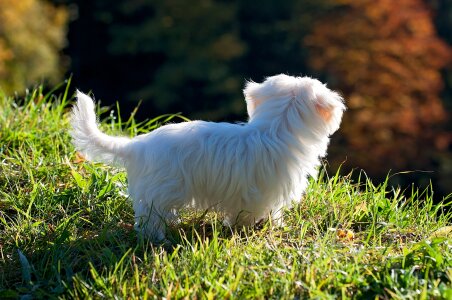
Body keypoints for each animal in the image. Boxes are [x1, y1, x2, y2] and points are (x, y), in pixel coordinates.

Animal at [70, 74, 346, 240]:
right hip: (159, 193)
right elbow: (257, 214)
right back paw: (158, 238)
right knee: (150, 219)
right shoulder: (262, 193)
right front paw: (259, 229)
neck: (275, 129)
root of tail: (138, 145)